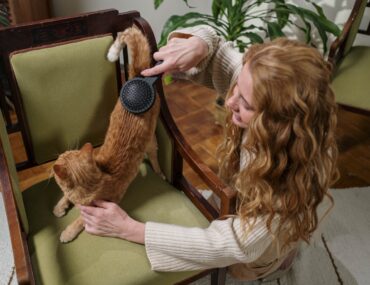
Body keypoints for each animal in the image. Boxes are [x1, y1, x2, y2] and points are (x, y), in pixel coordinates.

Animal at [53, 26, 162, 242]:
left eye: (62, 156)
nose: (58, 155)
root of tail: (140, 77)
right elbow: (65, 196)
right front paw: (60, 207)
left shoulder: (100, 208)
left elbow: (80, 220)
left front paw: (68, 232)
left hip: (151, 141)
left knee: (155, 156)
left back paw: (160, 172)